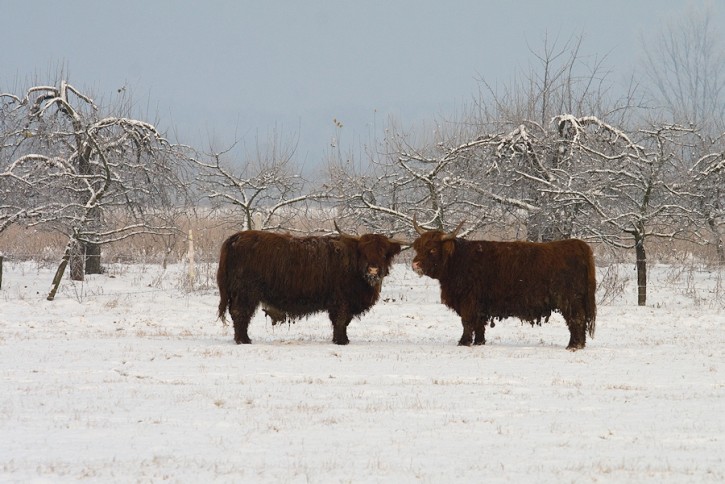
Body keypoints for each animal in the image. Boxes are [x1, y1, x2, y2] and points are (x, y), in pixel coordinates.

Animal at [215, 227, 402, 344]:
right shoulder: (341, 301)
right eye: (364, 252)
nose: (373, 270)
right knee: (240, 313)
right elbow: (340, 321)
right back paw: (244, 340)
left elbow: (344, 322)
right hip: (245, 293)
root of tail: (235, 238)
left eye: (384, 254)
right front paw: (341, 341)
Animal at [410, 219, 596, 352]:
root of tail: (578, 245)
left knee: (576, 319)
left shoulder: (468, 301)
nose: (415, 264)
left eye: (432, 250)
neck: (457, 261)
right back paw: (579, 344)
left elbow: (467, 322)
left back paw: (573, 346)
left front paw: (463, 342)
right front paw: (479, 342)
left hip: (570, 299)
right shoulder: (480, 304)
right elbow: (479, 324)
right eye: (418, 248)